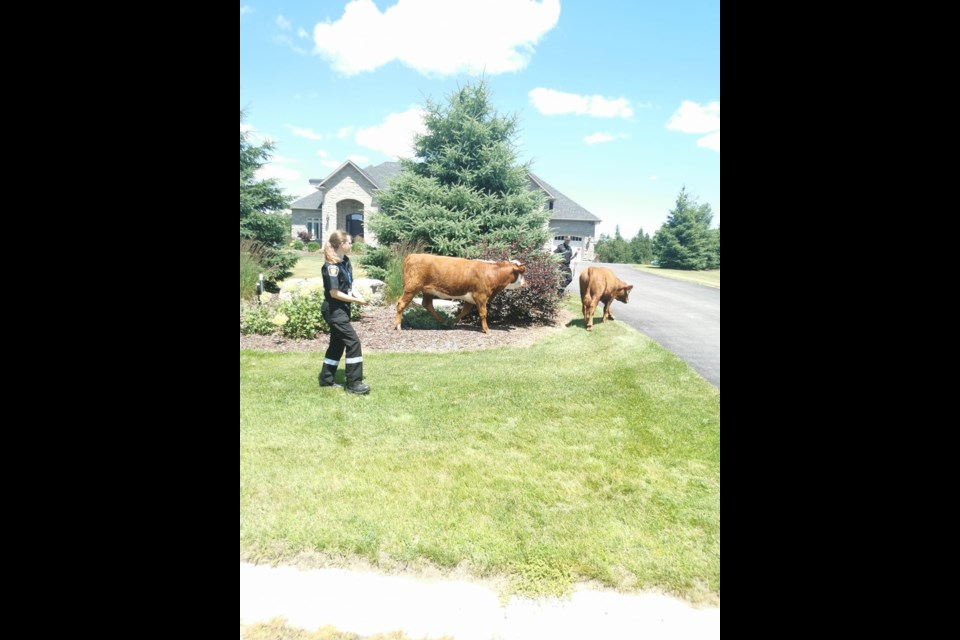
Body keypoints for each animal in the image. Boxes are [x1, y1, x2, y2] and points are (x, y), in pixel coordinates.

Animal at [392, 254, 528, 336]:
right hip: (411, 288)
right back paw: (397, 326)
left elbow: (465, 311)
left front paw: (453, 322)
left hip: (428, 290)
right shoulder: (481, 296)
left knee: (427, 304)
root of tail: (413, 255)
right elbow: (483, 314)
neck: (492, 273)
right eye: (522, 274)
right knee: (401, 303)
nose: (526, 284)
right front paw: (487, 330)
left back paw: (443, 321)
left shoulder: (470, 298)